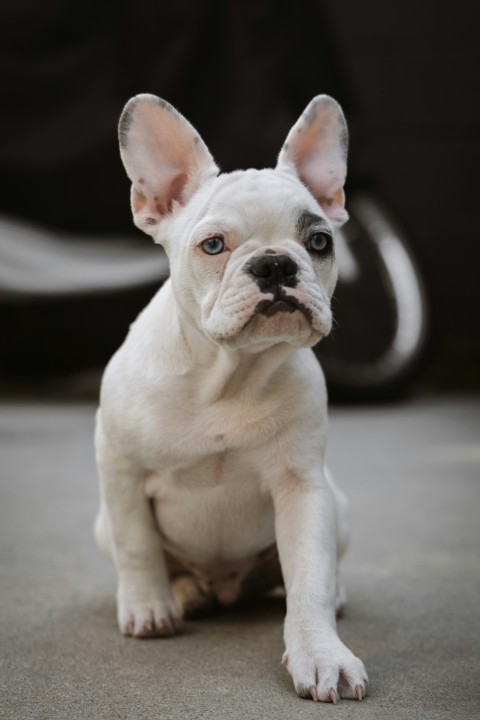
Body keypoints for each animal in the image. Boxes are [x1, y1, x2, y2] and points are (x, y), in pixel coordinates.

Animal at [95, 91, 370, 704]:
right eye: (214, 245)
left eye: (320, 242)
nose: (275, 262)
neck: (227, 374)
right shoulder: (121, 471)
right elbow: (136, 545)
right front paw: (148, 607)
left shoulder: (302, 488)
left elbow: (309, 580)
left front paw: (322, 653)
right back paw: (183, 592)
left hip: (338, 507)